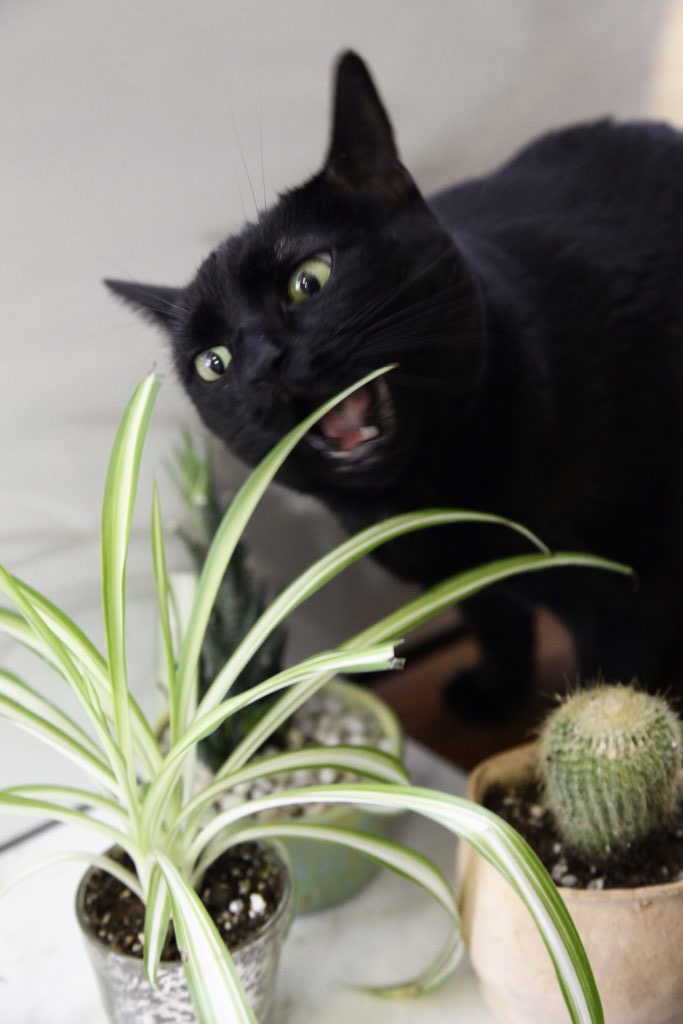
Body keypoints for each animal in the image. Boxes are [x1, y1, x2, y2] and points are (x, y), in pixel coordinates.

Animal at [107, 49, 683, 720]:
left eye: (309, 279)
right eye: (213, 363)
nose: (263, 366)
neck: (439, 499)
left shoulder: (627, 597)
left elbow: (616, 682)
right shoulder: (468, 588)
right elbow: (498, 627)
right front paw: (494, 697)